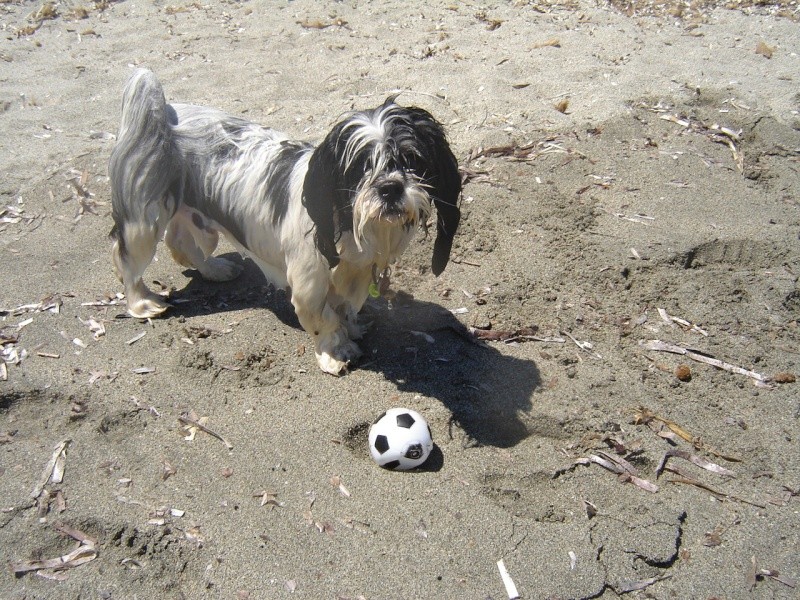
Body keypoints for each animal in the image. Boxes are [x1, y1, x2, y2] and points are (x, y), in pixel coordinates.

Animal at [109, 70, 466, 376]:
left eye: (412, 160)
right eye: (360, 167)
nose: (390, 187)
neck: (345, 225)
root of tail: (165, 112)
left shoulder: (356, 273)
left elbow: (345, 308)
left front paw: (353, 328)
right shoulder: (308, 284)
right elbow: (324, 319)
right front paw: (336, 352)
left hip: (189, 214)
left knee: (181, 245)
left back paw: (214, 269)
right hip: (145, 221)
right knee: (127, 260)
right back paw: (142, 303)